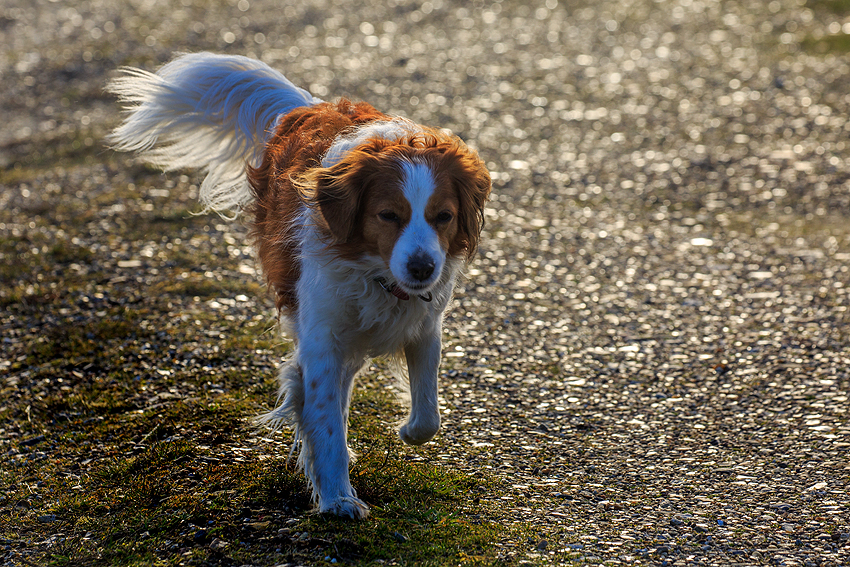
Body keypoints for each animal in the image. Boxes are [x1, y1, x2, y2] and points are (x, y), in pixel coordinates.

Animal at [107, 53, 490, 520]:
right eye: (388, 215)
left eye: (443, 217)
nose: (422, 268)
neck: (376, 275)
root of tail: (310, 105)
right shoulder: (322, 336)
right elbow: (324, 419)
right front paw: (338, 496)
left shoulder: (424, 326)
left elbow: (428, 416)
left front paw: (402, 433)